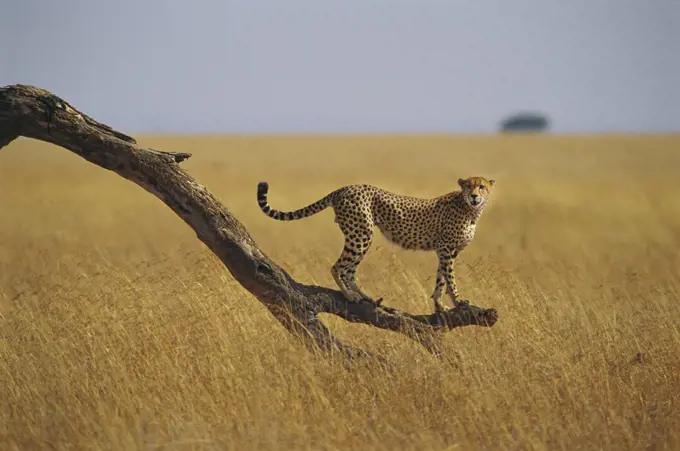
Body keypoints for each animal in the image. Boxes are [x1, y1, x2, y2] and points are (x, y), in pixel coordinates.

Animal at [255, 177, 494, 314]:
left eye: (481, 187)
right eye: (469, 187)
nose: (474, 196)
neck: (471, 210)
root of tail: (344, 188)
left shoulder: (448, 251)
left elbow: (441, 279)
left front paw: (440, 305)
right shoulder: (446, 249)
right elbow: (450, 278)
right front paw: (459, 301)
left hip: (359, 236)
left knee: (349, 271)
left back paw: (365, 296)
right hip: (361, 234)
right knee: (338, 267)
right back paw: (350, 296)